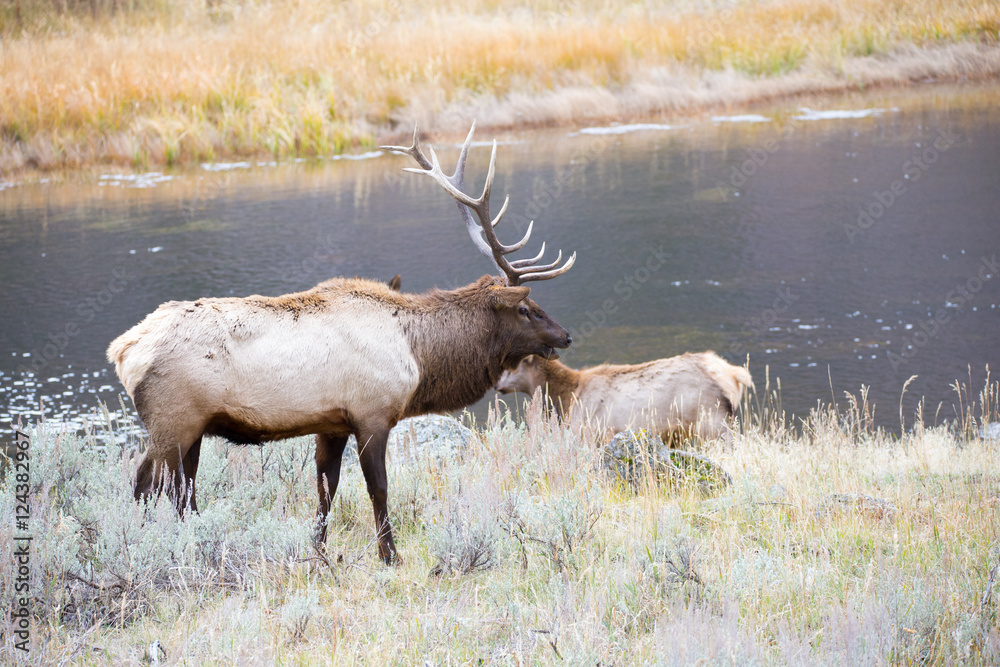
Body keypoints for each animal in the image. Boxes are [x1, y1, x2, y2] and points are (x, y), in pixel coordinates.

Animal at [107, 124, 576, 565]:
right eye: (526, 308)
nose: (565, 335)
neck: (418, 356)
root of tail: (122, 350)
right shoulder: (372, 414)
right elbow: (378, 488)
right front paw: (390, 555)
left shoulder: (332, 424)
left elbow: (325, 489)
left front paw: (318, 552)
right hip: (173, 421)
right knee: (146, 484)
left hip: (192, 428)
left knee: (182, 491)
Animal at [495, 352, 752, 447]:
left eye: (511, 362)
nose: (496, 384)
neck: (567, 398)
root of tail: (735, 376)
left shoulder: (596, 433)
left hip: (713, 424)